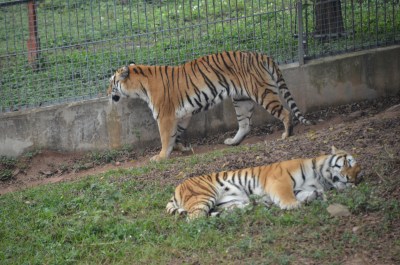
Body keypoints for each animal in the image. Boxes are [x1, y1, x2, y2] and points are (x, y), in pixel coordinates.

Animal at [108, 50, 314, 160]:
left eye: (112, 82)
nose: (106, 92)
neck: (140, 86)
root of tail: (260, 55)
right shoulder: (182, 115)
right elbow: (177, 134)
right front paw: (180, 148)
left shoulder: (165, 116)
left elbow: (166, 137)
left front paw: (161, 156)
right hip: (241, 99)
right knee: (245, 125)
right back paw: (233, 142)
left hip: (262, 93)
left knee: (286, 112)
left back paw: (287, 134)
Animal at [166, 145, 362, 220]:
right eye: (348, 163)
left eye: (358, 175)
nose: (351, 179)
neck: (321, 177)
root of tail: (177, 188)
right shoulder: (280, 181)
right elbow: (287, 197)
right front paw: (293, 206)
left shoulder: (300, 188)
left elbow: (306, 193)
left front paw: (315, 196)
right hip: (204, 196)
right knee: (194, 219)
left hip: (229, 201)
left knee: (225, 210)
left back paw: (255, 207)